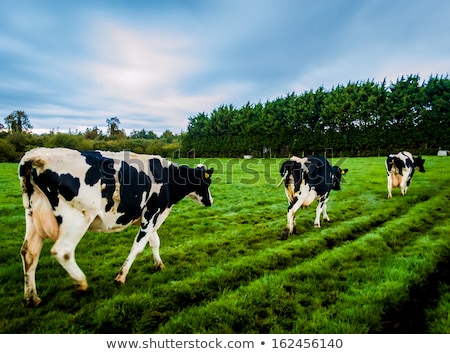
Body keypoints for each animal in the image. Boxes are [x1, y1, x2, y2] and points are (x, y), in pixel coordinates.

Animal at [18, 148, 214, 306]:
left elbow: (154, 242)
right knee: (63, 251)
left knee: (29, 253)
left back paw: (32, 298)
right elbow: (138, 246)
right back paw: (81, 283)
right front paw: (121, 276)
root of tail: (35, 156)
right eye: (207, 183)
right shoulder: (152, 212)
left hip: (32, 216)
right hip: (77, 218)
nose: (210, 201)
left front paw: (159, 264)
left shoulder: (150, 216)